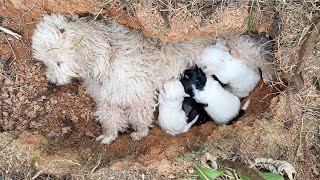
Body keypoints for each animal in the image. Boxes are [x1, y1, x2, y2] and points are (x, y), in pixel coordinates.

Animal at [31, 13, 208, 144]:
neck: (107, 60)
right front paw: (109, 136)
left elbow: (139, 116)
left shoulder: (138, 95)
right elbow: (110, 118)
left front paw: (140, 132)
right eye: (45, 62)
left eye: (59, 62)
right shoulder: (106, 98)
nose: (51, 82)